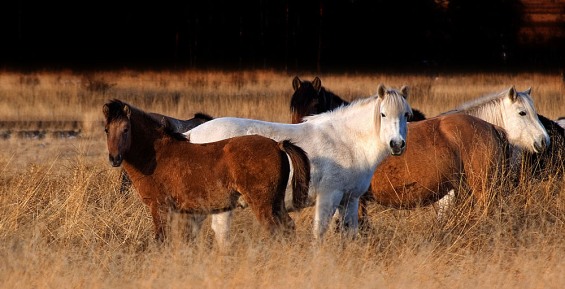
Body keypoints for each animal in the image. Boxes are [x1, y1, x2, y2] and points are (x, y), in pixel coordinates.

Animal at [103, 99, 310, 248]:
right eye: (106, 130)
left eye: (126, 129)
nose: (114, 158)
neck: (156, 155)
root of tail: (277, 145)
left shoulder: (160, 207)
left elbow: (161, 240)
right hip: (276, 203)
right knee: (288, 228)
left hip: (263, 205)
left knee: (275, 231)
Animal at [187, 84, 412, 240]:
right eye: (383, 114)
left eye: (406, 115)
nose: (397, 144)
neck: (346, 140)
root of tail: (190, 134)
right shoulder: (328, 196)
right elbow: (319, 232)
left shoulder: (350, 199)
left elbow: (349, 233)